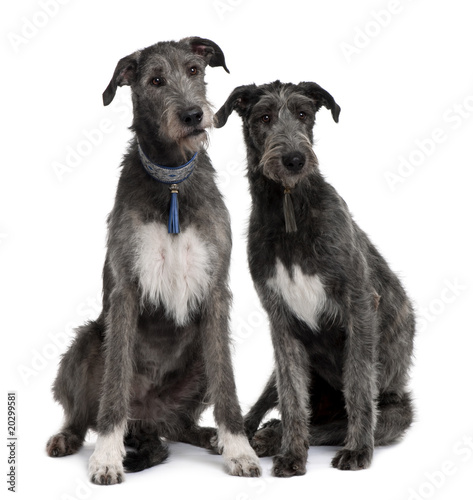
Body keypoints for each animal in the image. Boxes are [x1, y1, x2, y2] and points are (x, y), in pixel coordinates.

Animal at [45, 38, 260, 484]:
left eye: (194, 69)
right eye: (156, 81)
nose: (193, 115)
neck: (172, 182)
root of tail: (147, 420)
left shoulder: (217, 292)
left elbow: (227, 383)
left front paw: (239, 448)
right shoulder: (125, 290)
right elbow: (114, 384)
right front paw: (107, 457)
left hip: (197, 360)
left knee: (179, 423)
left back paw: (208, 436)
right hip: (86, 343)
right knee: (82, 412)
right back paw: (69, 436)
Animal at [216, 81, 414, 476]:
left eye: (304, 113)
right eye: (264, 117)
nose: (295, 159)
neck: (291, 205)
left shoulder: (359, 304)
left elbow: (358, 387)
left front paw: (358, 450)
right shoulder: (280, 322)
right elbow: (293, 397)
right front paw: (292, 454)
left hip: (397, 411)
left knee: (336, 423)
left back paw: (270, 436)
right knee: (275, 402)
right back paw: (251, 433)